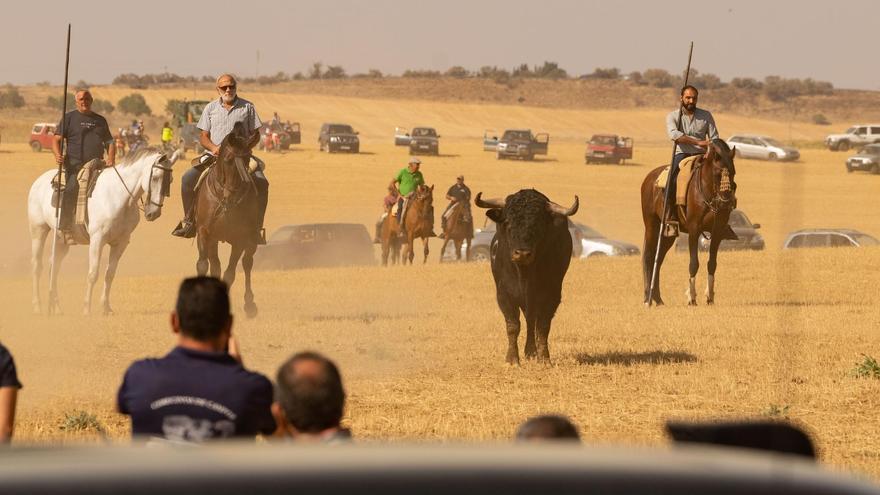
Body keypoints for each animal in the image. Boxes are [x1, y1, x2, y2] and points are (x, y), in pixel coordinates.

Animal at [27, 147, 180, 316]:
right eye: (156, 178)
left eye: (170, 180)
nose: (154, 213)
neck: (118, 197)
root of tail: (38, 181)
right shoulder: (97, 240)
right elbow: (93, 274)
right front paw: (86, 308)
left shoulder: (121, 243)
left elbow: (110, 274)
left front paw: (106, 307)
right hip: (38, 231)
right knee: (37, 266)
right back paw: (37, 306)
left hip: (62, 240)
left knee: (54, 267)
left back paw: (57, 308)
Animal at [194, 123, 260, 318]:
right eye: (229, 160)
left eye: (247, 160)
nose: (230, 195)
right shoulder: (204, 232)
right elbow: (203, 265)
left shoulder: (240, 238)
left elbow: (230, 273)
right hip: (214, 240)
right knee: (215, 265)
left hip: (251, 240)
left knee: (247, 264)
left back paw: (250, 304)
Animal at [474, 189, 576, 364]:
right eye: (508, 222)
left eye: (538, 225)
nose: (522, 253)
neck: (525, 274)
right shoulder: (504, 295)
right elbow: (513, 325)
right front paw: (512, 359)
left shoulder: (551, 296)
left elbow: (542, 327)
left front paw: (544, 358)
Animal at [640, 139, 736, 306]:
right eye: (717, 173)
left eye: (733, 172)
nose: (726, 202)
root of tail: (649, 178)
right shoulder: (694, 230)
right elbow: (693, 263)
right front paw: (691, 298)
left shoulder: (717, 231)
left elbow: (712, 263)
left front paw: (710, 297)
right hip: (652, 226)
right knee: (649, 256)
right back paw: (648, 299)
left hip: (668, 234)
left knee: (658, 260)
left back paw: (658, 299)